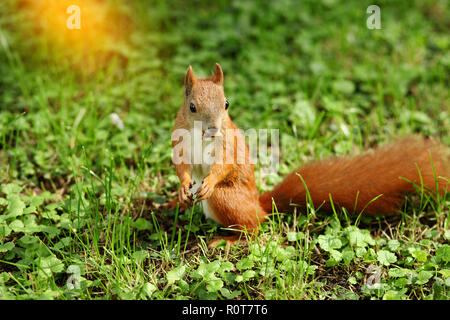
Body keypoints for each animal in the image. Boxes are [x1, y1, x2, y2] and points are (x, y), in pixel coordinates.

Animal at [170, 63, 450, 248]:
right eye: (192, 107)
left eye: (226, 104)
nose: (213, 130)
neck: (199, 135)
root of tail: (260, 204)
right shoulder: (179, 141)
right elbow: (181, 165)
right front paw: (183, 187)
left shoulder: (228, 144)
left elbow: (225, 165)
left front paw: (209, 181)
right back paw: (178, 202)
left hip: (227, 199)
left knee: (254, 227)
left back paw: (226, 239)